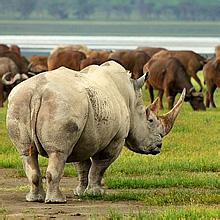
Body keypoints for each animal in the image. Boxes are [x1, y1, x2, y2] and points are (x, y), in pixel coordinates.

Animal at [6, 60, 186, 203]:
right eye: (151, 121)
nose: (158, 147)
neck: (132, 100)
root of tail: (38, 91)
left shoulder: (82, 137)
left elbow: (82, 165)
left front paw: (80, 192)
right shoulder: (116, 139)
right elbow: (100, 165)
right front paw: (96, 193)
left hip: (20, 101)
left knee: (27, 153)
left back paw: (34, 199)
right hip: (62, 105)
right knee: (58, 153)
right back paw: (57, 201)